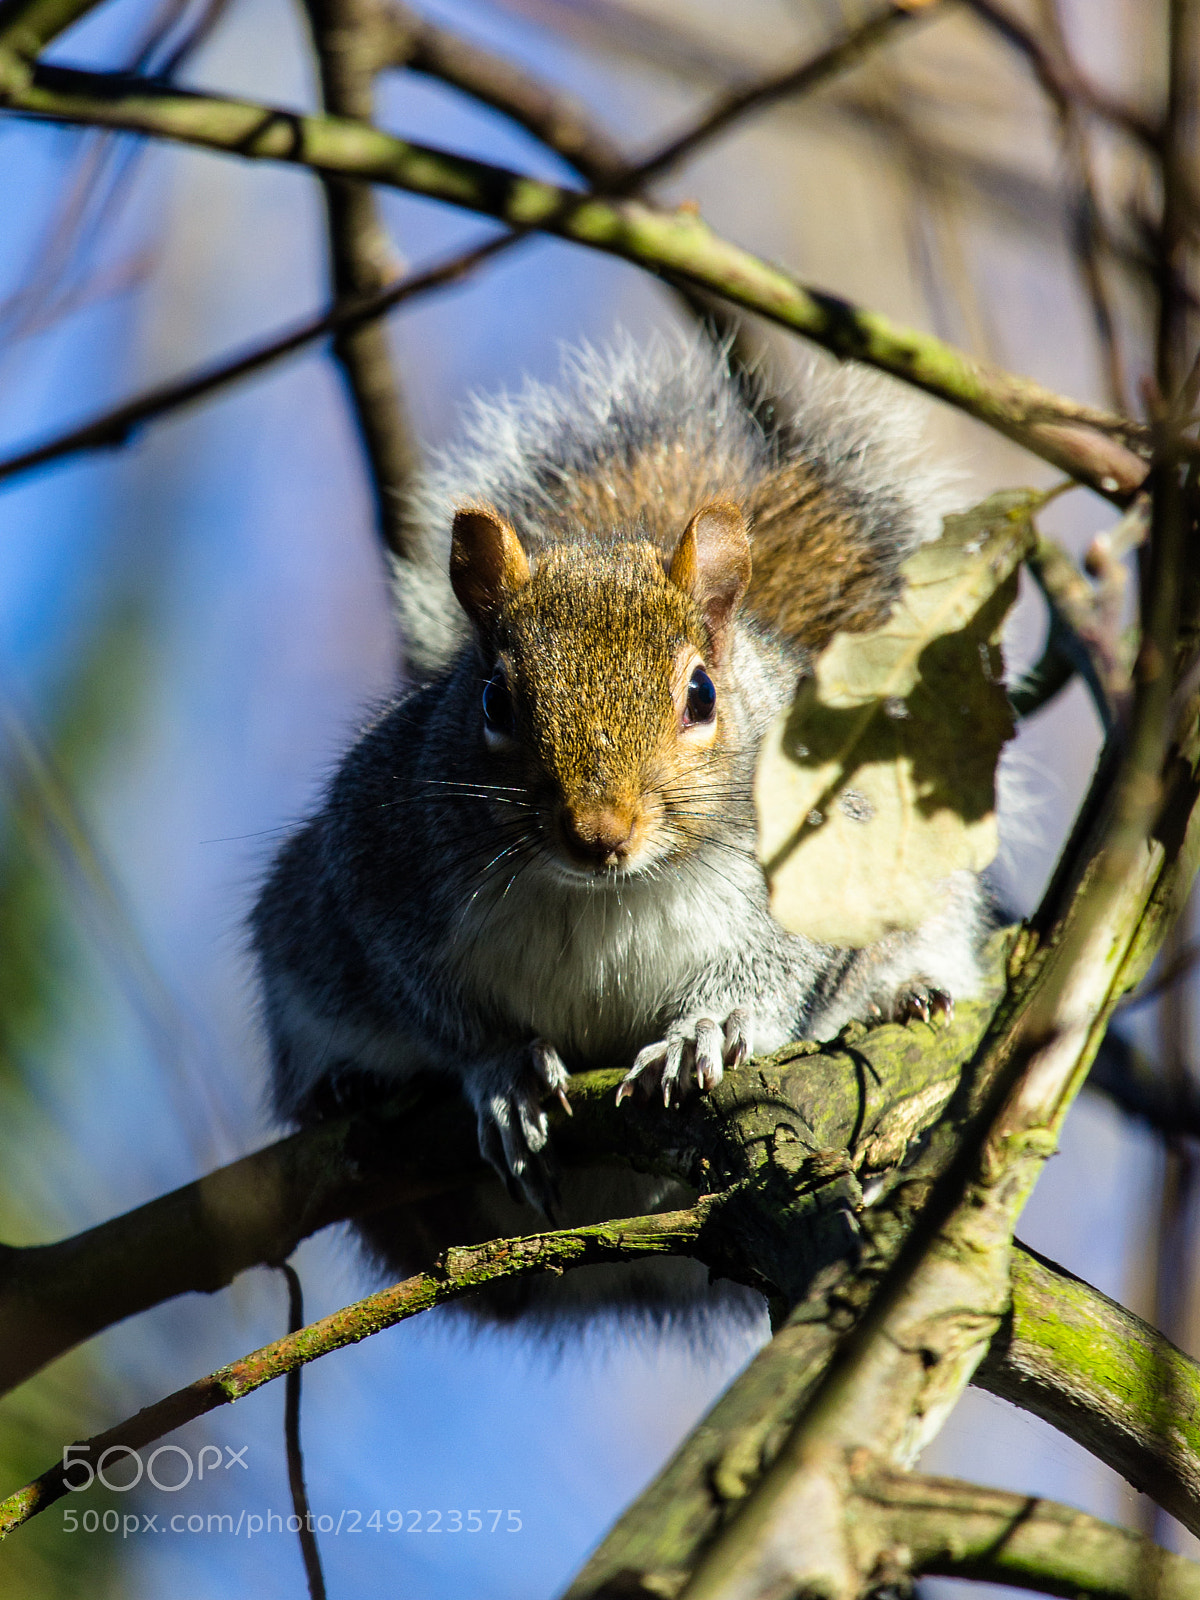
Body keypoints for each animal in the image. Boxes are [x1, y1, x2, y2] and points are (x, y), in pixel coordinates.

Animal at [251, 333, 990, 1328]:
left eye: (702, 695)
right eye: (495, 700)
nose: (599, 832)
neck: (606, 892)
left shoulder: (833, 858)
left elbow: (784, 965)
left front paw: (707, 1029)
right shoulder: (377, 865)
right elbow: (428, 995)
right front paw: (503, 1070)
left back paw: (903, 997)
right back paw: (348, 1086)